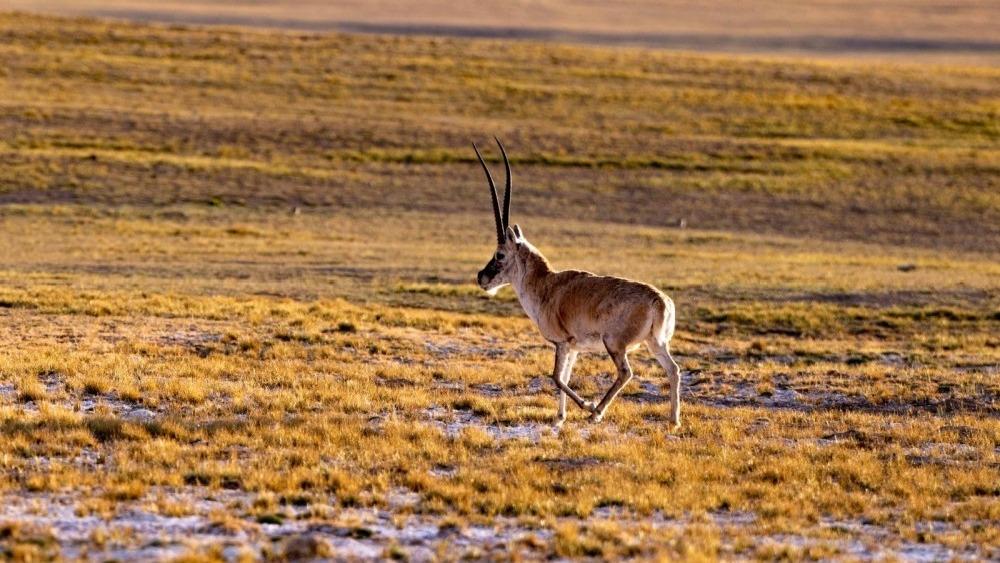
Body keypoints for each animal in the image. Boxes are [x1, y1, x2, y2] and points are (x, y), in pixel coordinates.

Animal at [474, 139, 680, 430]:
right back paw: (674, 420)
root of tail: (660, 301)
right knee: (674, 369)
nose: (481, 277)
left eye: (500, 255)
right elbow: (564, 378)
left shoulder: (562, 343)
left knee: (626, 372)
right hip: (656, 343)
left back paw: (597, 412)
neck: (546, 285)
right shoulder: (573, 347)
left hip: (614, 344)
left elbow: (555, 377)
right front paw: (559, 418)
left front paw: (586, 406)